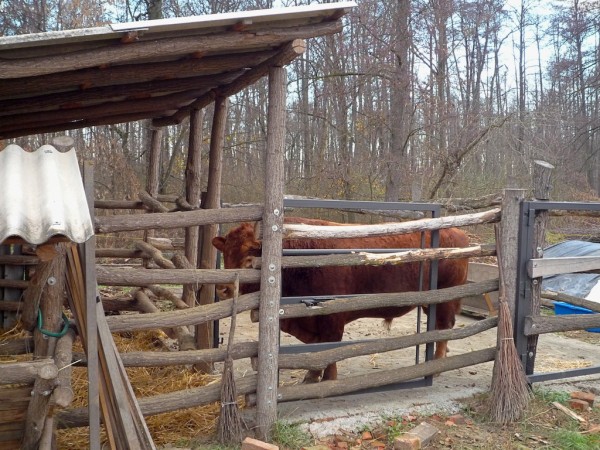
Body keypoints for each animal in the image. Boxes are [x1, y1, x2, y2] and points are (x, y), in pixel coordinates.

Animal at [213, 218, 472, 384]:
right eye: (225, 254)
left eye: (249, 257)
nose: (223, 289)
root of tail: (458, 233)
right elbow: (316, 348)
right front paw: (311, 376)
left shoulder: (331, 318)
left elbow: (328, 347)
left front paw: (328, 379)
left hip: (445, 300)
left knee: (444, 328)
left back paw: (436, 368)